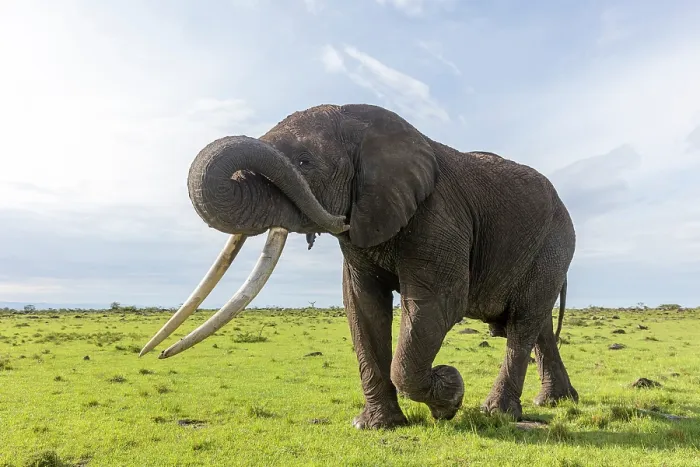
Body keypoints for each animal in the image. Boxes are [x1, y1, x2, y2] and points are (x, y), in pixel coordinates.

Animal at [140, 103, 579, 429]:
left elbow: (438, 303)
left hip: (553, 244)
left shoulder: (439, 215)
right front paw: (377, 426)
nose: (153, 355)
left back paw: (498, 413)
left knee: (523, 323)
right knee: (537, 325)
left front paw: (450, 397)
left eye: (305, 162)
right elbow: (362, 305)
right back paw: (555, 402)